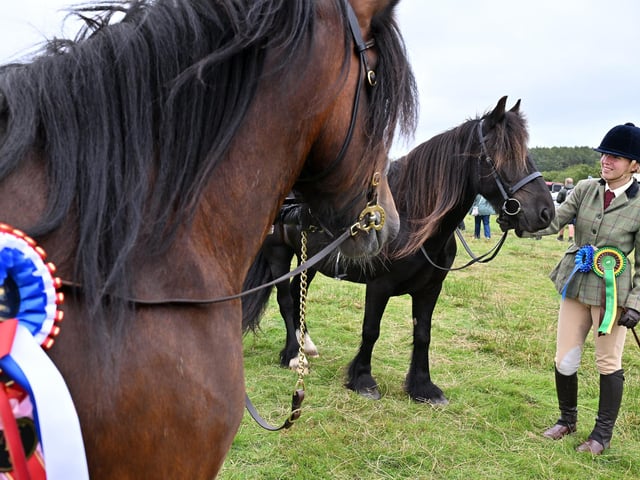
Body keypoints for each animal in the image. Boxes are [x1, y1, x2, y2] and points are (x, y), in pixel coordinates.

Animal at [244, 96, 555, 405]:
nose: (545, 212)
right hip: (278, 255)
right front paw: (362, 379)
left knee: (299, 294)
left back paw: (305, 345)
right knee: (286, 299)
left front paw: (423, 386)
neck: (411, 219)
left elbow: (423, 334)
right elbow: (371, 330)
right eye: (501, 155)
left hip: (309, 260)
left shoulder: (430, 288)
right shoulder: (379, 285)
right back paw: (292, 355)